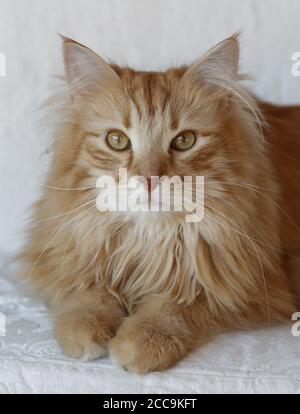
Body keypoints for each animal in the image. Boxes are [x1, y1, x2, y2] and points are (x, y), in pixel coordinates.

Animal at [19, 34, 300, 374]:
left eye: (184, 141)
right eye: (117, 140)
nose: (150, 179)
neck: (149, 242)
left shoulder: (251, 286)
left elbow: (179, 304)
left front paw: (139, 342)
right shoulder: (66, 257)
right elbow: (87, 293)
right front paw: (83, 330)